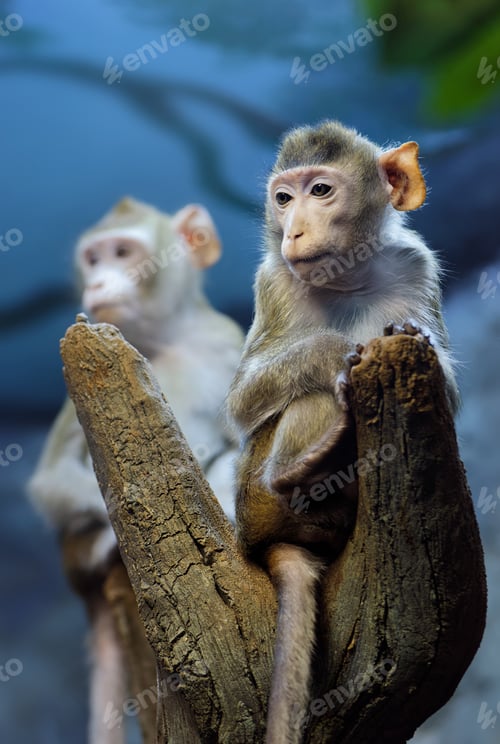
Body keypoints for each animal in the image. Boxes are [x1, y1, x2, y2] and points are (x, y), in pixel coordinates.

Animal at [28, 196, 244, 744]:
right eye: (93, 259)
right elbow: (50, 482)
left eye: (123, 253)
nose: (98, 282)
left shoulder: (225, 343)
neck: (164, 340)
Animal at [226, 120, 459, 744]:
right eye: (284, 198)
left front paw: (407, 337)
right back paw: (304, 464)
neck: (348, 278)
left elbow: (448, 394)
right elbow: (242, 402)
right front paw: (344, 347)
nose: (294, 230)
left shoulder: (416, 264)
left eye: (321, 191)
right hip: (254, 493)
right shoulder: (272, 280)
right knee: (313, 396)